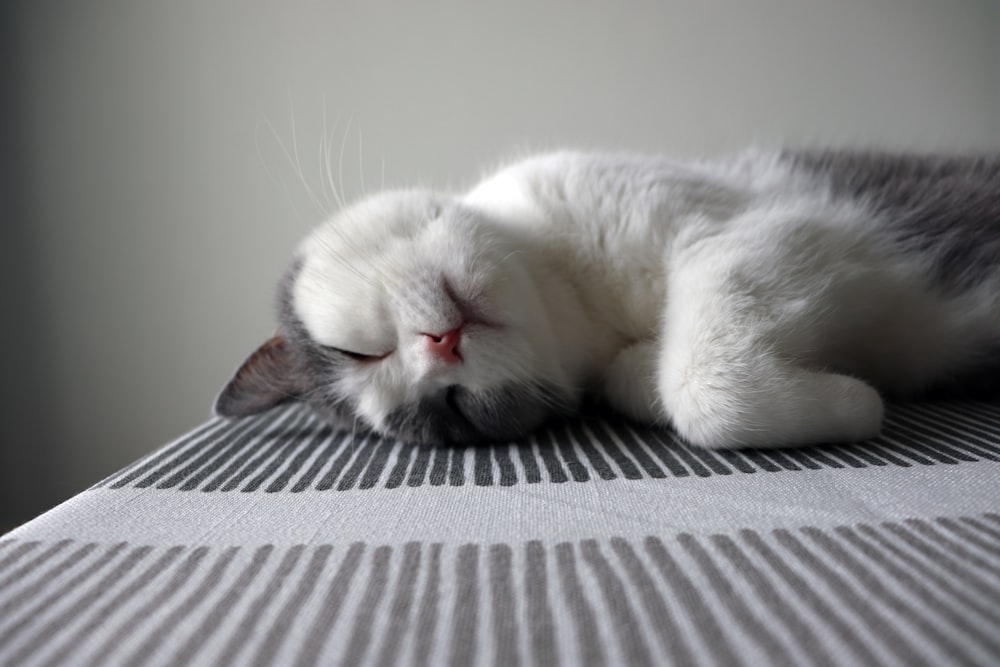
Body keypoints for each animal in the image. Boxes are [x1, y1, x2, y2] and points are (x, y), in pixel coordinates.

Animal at [213, 148, 1000, 446]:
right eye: (453, 410)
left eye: (357, 350)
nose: (440, 348)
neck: (574, 295)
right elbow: (674, 382)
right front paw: (854, 394)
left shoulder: (771, 227)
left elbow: (703, 384)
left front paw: (859, 401)